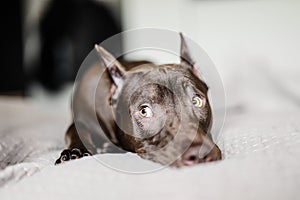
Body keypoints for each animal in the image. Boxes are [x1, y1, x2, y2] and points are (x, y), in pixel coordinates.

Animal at [55, 33, 221, 167]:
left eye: (196, 101)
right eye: (144, 111)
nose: (200, 153)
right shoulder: (82, 118)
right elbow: (75, 131)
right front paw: (74, 152)